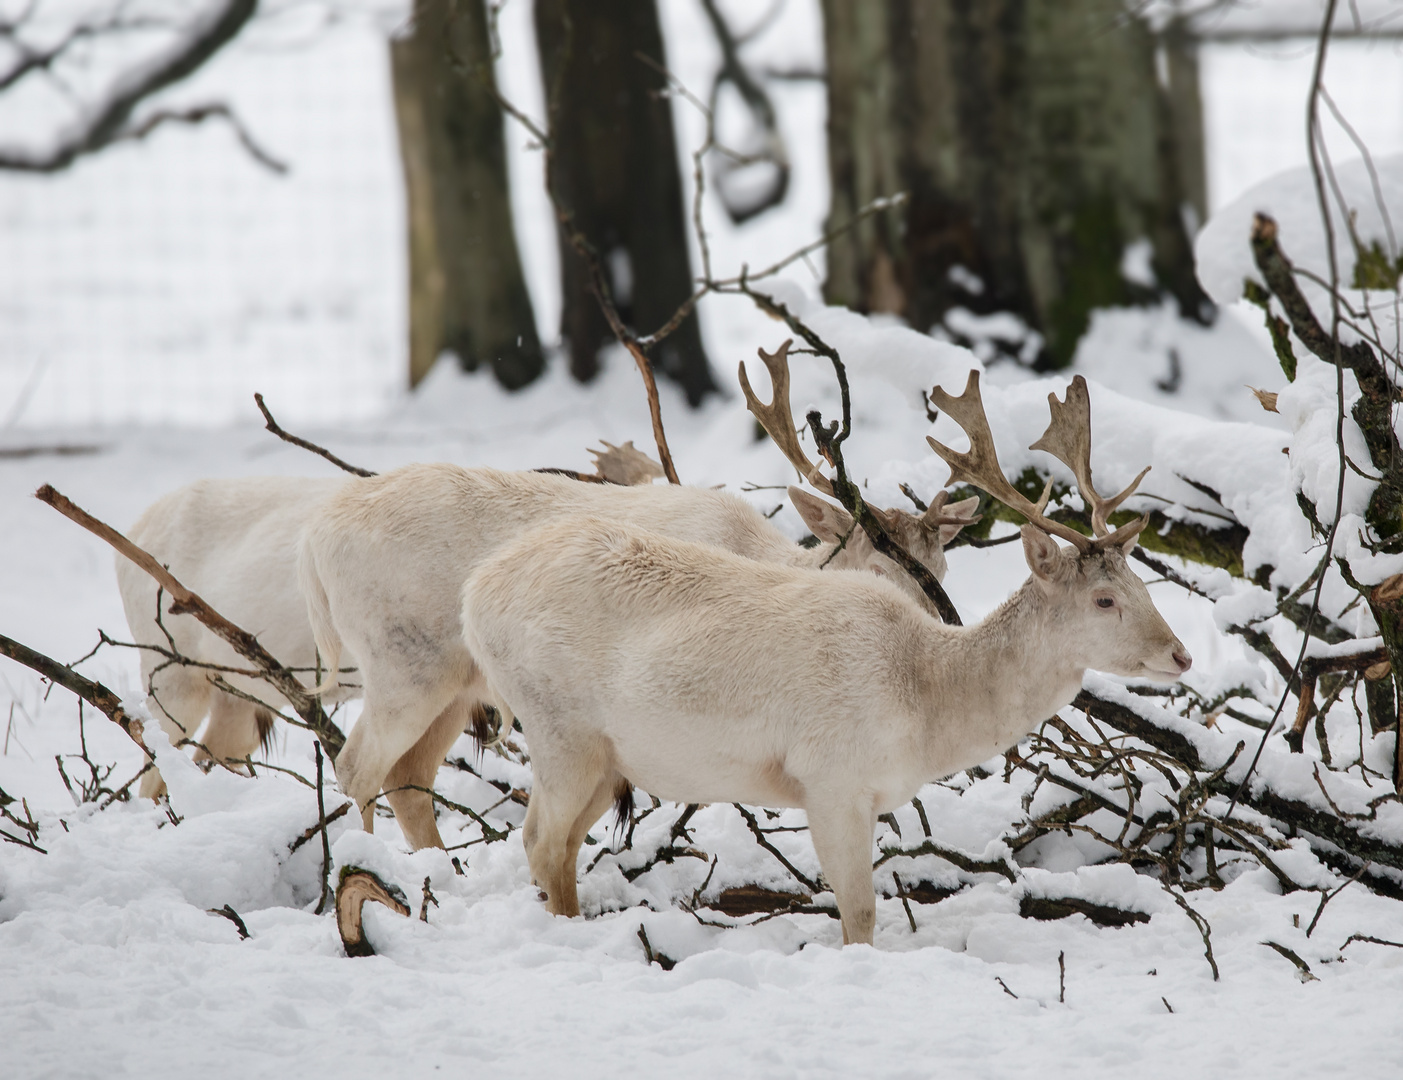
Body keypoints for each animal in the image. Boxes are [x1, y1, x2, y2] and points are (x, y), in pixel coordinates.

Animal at [462, 370, 1195, 942]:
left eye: (1141, 582)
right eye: (1103, 598)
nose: (1181, 655)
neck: (925, 708)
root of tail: (475, 595)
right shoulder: (831, 776)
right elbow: (861, 914)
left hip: (608, 754)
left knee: (552, 845)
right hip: (559, 725)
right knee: (541, 840)